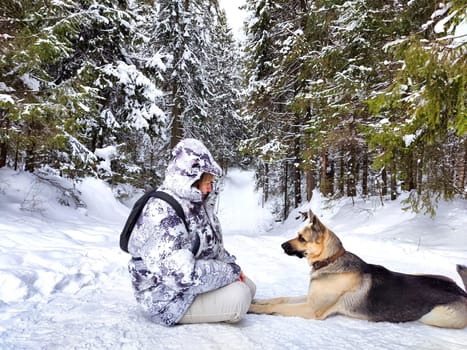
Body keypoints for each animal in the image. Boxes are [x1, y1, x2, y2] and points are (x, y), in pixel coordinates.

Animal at [249, 211, 467, 328]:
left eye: (301, 238)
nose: (281, 245)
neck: (330, 261)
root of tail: (461, 292)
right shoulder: (310, 298)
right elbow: (279, 299)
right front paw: (257, 301)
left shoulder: (312, 309)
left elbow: (276, 307)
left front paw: (253, 308)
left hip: (434, 316)